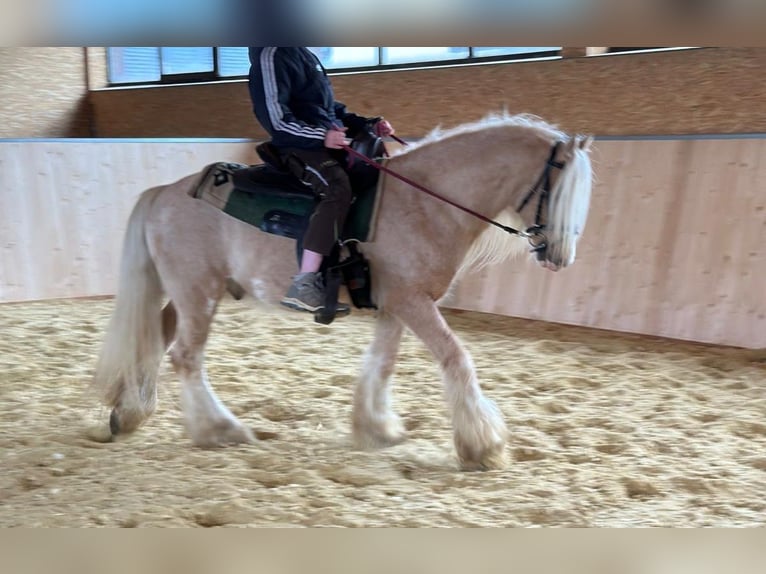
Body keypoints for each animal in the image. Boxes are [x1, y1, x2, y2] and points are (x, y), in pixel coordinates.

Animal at [93, 113, 596, 472]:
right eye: (559, 192)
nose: (561, 256)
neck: (423, 203)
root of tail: (164, 193)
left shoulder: (396, 306)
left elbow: (383, 364)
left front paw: (377, 428)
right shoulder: (413, 303)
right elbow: (457, 358)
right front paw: (482, 446)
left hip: (189, 294)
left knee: (154, 340)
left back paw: (128, 413)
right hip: (198, 294)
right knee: (185, 357)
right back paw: (219, 430)